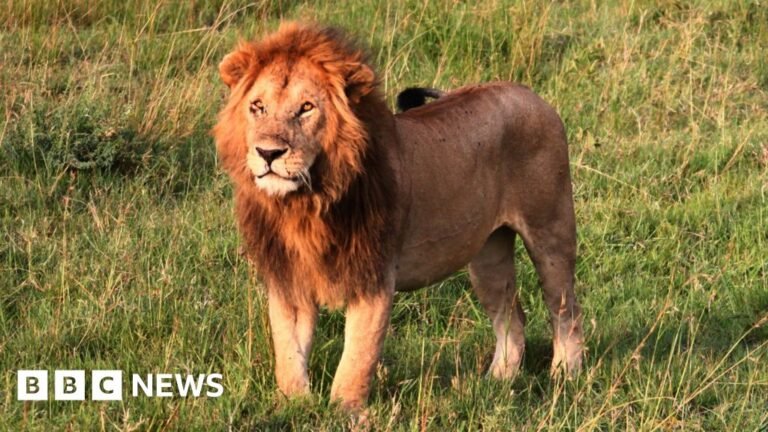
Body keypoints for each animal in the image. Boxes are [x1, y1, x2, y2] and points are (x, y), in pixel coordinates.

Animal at [213, 22, 583, 411]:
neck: (305, 205)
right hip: (488, 256)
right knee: (512, 316)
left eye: (306, 108)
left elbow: (357, 358)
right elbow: (288, 353)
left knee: (566, 310)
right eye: (257, 107)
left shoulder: (374, 277)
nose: (268, 152)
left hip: (551, 232)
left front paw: (344, 412)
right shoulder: (289, 278)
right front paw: (293, 405)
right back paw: (496, 383)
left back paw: (565, 376)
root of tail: (529, 93)